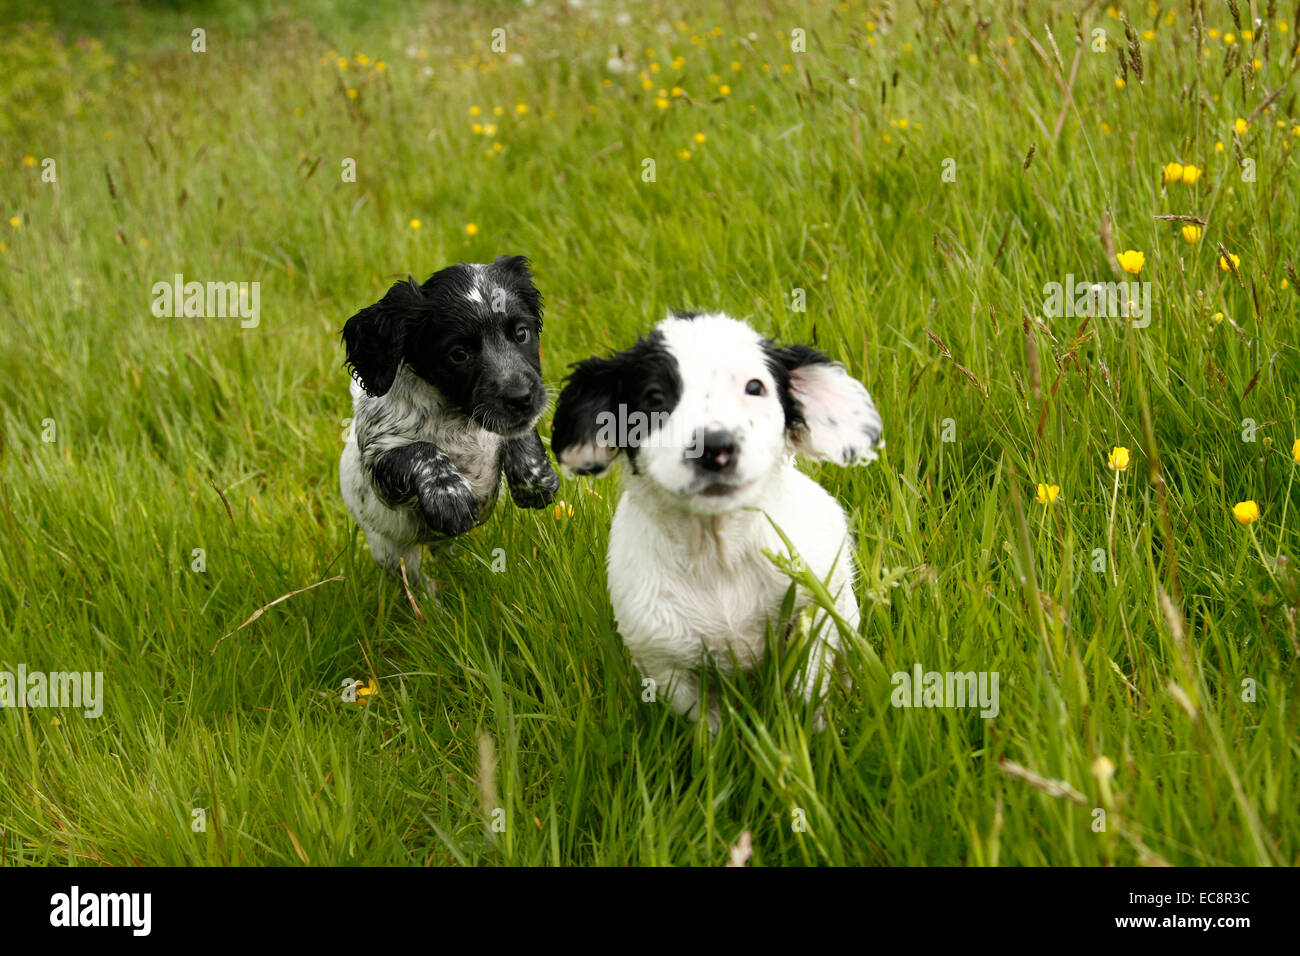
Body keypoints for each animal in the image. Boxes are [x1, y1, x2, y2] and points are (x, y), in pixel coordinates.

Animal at [340, 257, 559, 595]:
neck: (458, 417)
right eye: (458, 354)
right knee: (415, 578)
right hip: (390, 551)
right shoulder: (379, 464)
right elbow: (420, 449)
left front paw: (535, 481)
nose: (521, 398)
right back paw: (433, 602)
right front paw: (450, 497)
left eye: (521, 333)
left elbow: (518, 433)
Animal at [548, 314, 883, 733]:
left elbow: (809, 687)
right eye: (654, 399)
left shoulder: (818, 607)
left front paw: (818, 730)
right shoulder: (663, 662)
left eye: (755, 387)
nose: (714, 448)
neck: (719, 554)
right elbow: (709, 729)